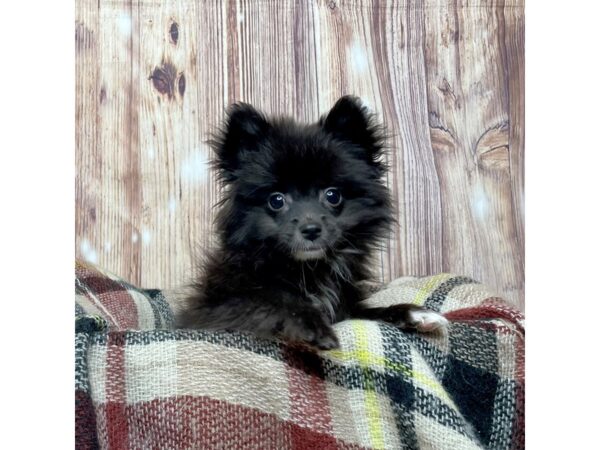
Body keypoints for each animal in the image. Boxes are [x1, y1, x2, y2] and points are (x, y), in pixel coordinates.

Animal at [180, 95, 448, 350]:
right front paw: (310, 324)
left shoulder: (346, 308)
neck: (310, 269)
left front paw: (412, 313)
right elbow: (274, 303)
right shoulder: (219, 306)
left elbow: (370, 313)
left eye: (332, 195)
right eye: (276, 200)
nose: (310, 230)